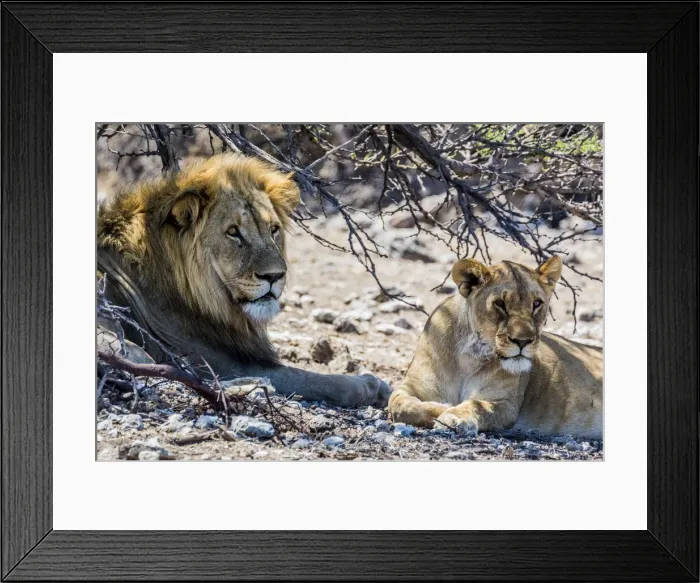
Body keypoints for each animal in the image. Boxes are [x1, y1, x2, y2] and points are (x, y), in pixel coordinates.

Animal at [97, 153, 391, 407]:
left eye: (273, 230)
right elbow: (305, 377)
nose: (275, 276)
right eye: (233, 232)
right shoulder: (213, 358)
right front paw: (369, 385)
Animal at [388, 256, 602, 439]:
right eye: (500, 303)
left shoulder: (506, 404)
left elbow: (475, 404)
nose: (523, 341)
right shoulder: (411, 386)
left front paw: (453, 415)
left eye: (537, 303)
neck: (467, 356)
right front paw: (443, 408)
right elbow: (398, 405)